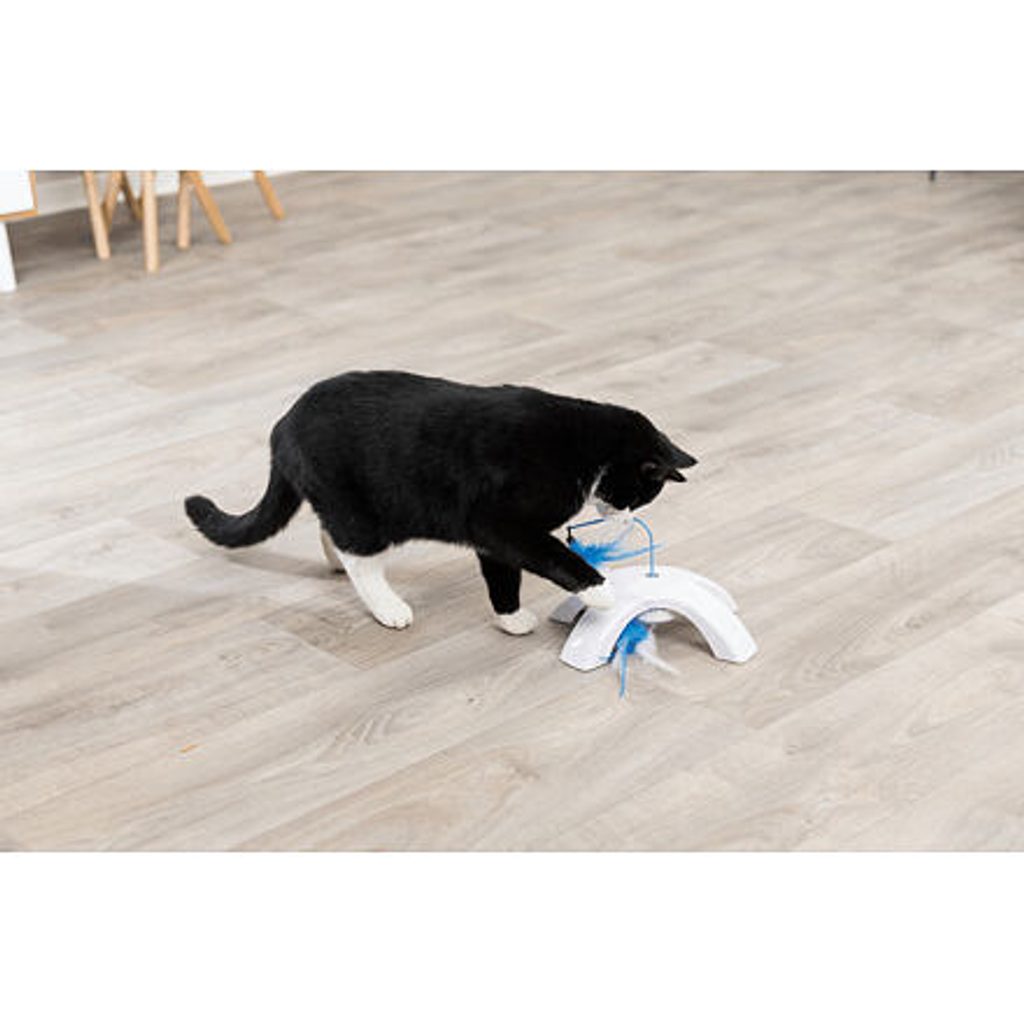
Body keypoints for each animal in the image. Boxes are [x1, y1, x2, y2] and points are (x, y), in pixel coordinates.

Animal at [184, 370, 696, 634]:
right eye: (639, 495)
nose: (625, 516)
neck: (583, 448)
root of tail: (282, 425)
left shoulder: (493, 539)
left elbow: (503, 575)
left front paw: (511, 619)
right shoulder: (498, 522)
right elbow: (551, 555)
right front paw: (601, 590)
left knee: (331, 531)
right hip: (365, 511)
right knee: (359, 557)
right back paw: (388, 607)